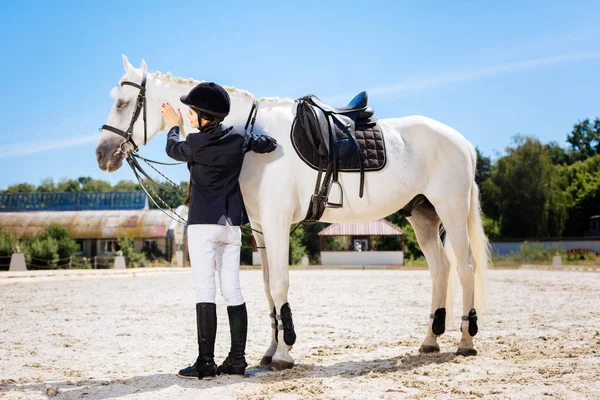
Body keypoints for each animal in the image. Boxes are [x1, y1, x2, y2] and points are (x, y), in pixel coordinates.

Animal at [95, 55, 488, 368]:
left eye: (124, 102)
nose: (101, 154)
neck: (250, 135)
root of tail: (462, 141)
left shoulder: (277, 222)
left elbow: (280, 283)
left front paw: (285, 354)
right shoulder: (260, 228)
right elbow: (269, 288)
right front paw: (270, 351)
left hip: (451, 211)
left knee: (465, 267)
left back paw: (466, 341)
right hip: (423, 216)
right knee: (441, 270)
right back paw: (431, 339)